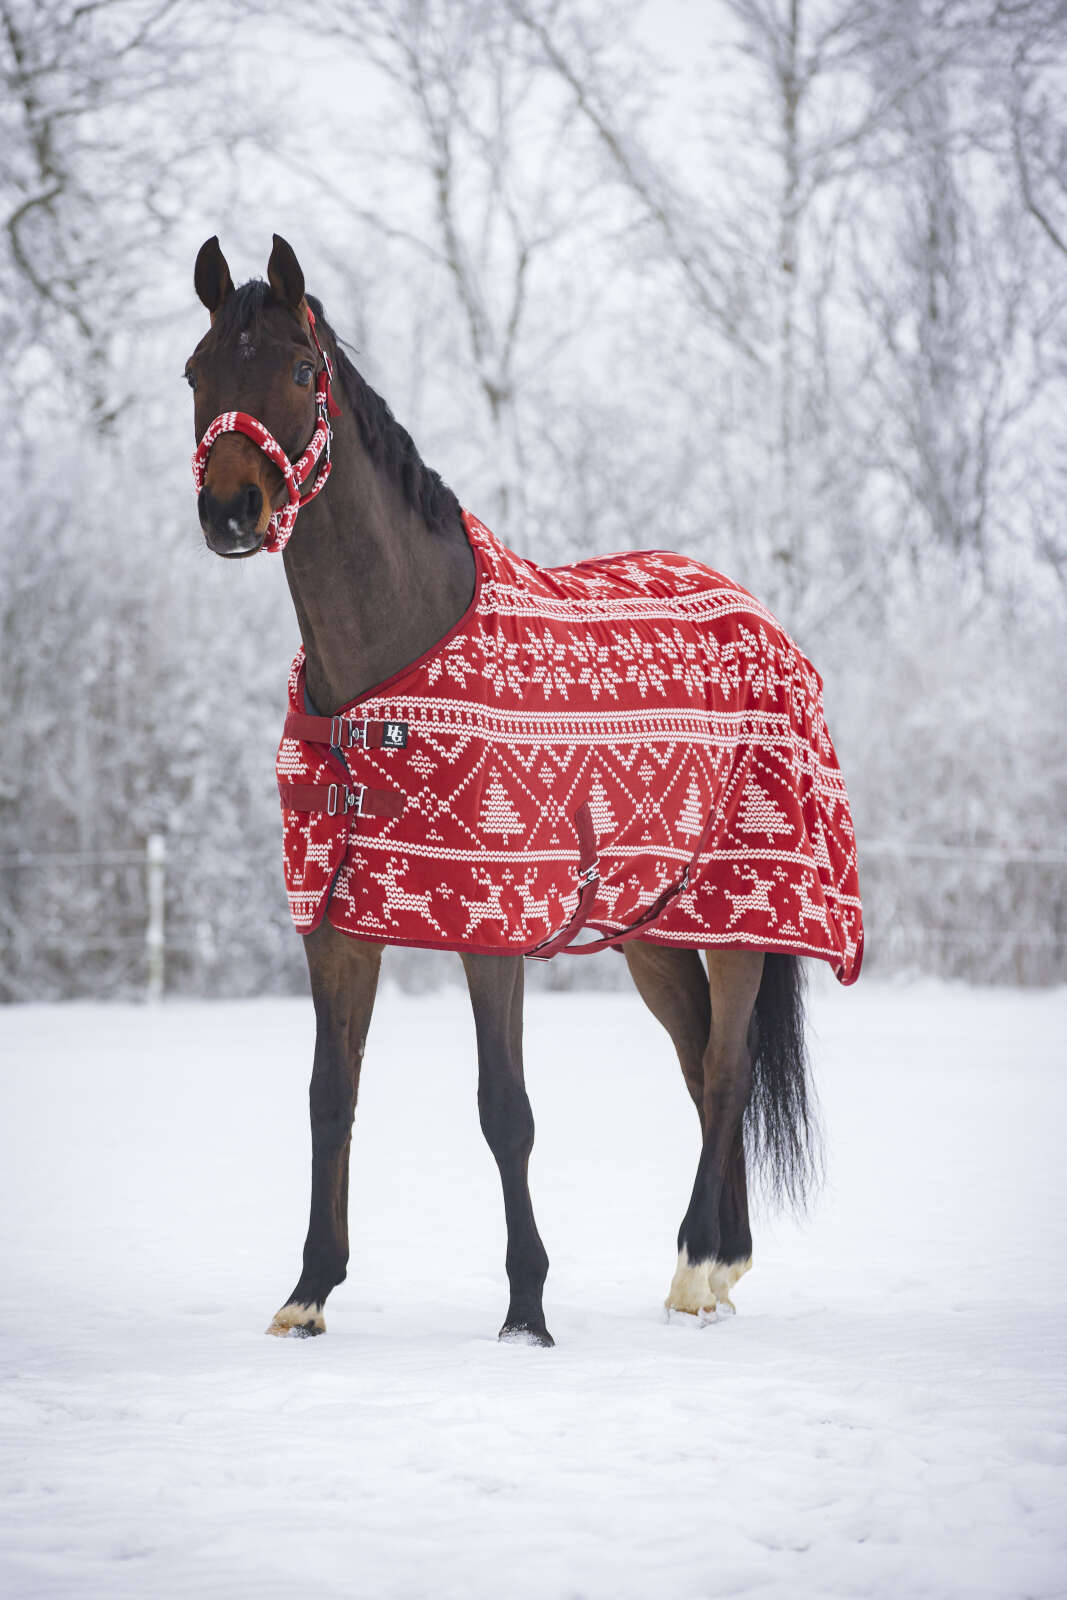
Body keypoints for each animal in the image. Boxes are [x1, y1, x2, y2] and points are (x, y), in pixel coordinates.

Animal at [187, 234, 862, 1346]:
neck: (385, 673)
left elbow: (504, 1110)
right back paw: (720, 1265)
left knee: (724, 1073)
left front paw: (525, 1309)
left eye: (297, 368)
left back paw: (694, 1268)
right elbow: (331, 1095)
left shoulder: (490, 928)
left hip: (745, 913)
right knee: (699, 1068)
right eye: (197, 372)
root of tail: (762, 620)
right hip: (649, 928)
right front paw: (310, 1289)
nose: (231, 512)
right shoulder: (336, 927)